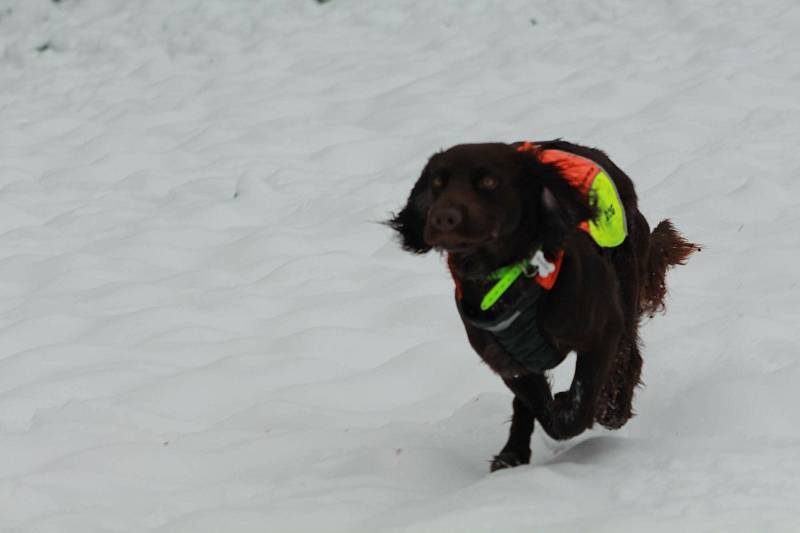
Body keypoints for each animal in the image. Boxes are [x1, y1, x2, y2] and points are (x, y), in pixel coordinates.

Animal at [386, 140, 692, 470]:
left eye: (489, 181)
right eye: (437, 184)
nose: (443, 218)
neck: (505, 280)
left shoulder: (603, 331)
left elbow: (578, 404)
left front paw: (591, 408)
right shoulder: (509, 363)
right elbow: (539, 408)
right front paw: (524, 440)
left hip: (625, 283)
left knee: (628, 356)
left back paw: (614, 409)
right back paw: (512, 453)